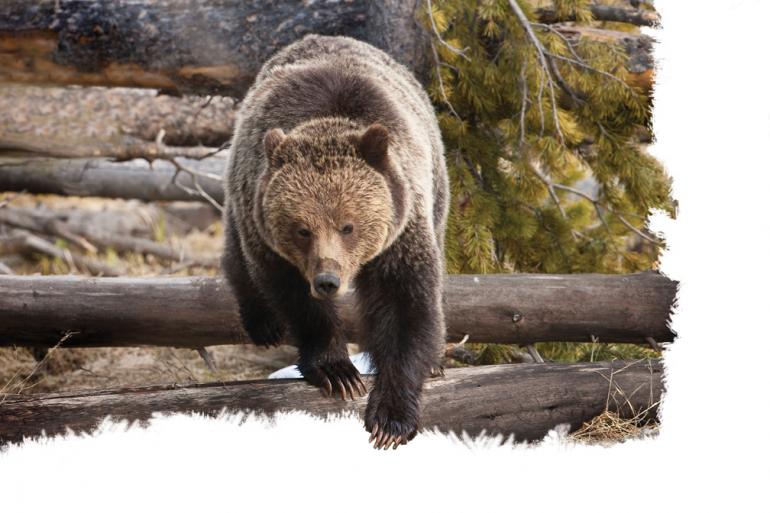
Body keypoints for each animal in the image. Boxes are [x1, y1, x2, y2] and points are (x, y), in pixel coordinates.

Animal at [222, 34, 449, 449]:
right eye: (302, 229)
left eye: (348, 226)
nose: (327, 280)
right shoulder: (270, 240)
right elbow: (295, 300)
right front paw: (338, 372)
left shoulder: (402, 230)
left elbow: (406, 303)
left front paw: (391, 419)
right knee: (237, 254)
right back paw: (263, 323)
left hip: (437, 187)